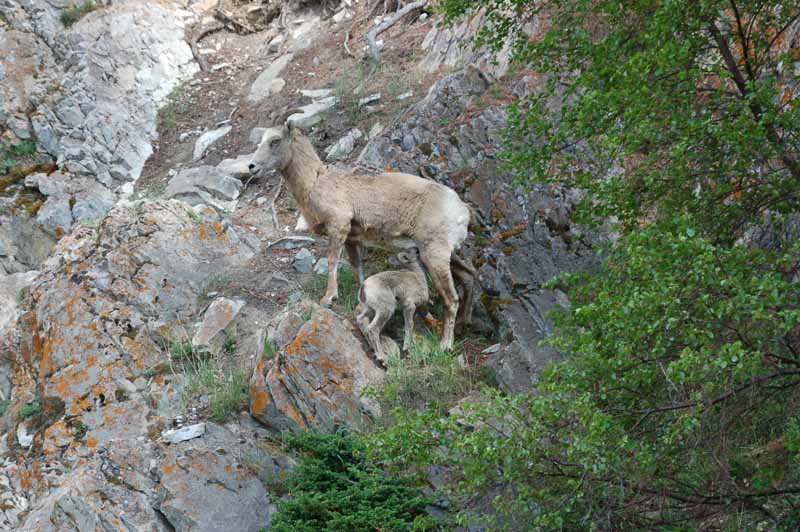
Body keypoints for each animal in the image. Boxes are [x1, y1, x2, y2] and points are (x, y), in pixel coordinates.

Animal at [250, 109, 476, 350]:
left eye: (275, 141)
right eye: (261, 141)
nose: (252, 166)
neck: (315, 182)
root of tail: (462, 210)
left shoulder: (338, 227)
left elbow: (333, 262)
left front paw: (328, 298)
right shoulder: (352, 239)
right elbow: (357, 268)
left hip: (434, 256)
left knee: (451, 299)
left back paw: (445, 344)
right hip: (446, 255)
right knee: (469, 277)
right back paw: (463, 324)